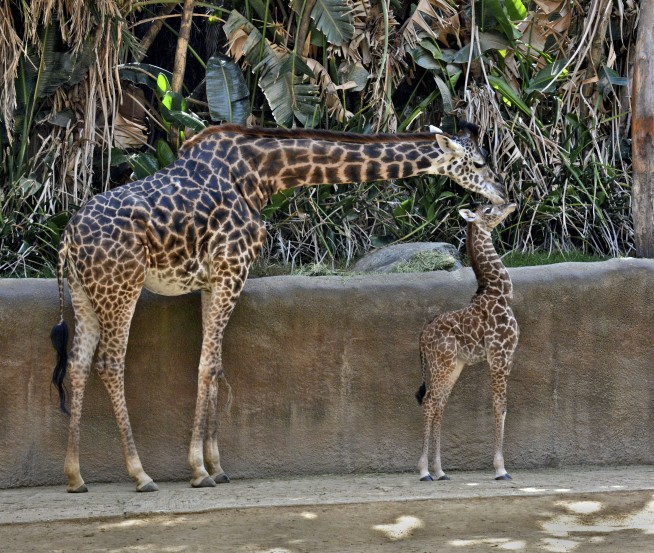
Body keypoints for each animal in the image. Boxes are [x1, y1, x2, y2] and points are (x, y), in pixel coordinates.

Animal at [50, 122, 507, 493]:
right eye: (479, 162)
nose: (504, 193)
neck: (261, 174)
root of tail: (67, 240)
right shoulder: (231, 269)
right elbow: (206, 366)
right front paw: (198, 470)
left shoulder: (213, 281)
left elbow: (215, 366)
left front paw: (216, 467)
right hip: (121, 287)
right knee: (109, 363)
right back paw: (140, 474)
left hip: (85, 294)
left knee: (77, 364)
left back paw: (75, 476)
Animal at [416, 202, 518, 482]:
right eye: (489, 209)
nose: (511, 203)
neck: (501, 293)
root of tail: (422, 336)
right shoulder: (500, 354)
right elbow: (500, 406)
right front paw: (501, 469)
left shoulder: (508, 356)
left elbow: (502, 407)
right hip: (442, 364)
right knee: (429, 402)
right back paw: (424, 471)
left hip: (453, 366)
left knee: (439, 404)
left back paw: (440, 471)